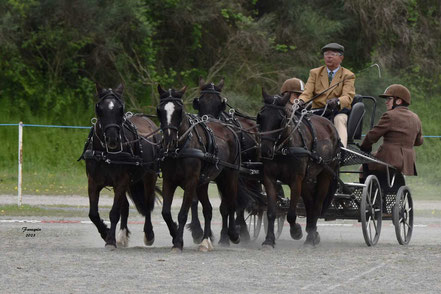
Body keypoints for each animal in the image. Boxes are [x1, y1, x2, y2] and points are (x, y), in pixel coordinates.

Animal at [81, 84, 158, 248]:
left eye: (120, 109)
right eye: (99, 109)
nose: (112, 139)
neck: (105, 153)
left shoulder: (121, 181)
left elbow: (114, 212)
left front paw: (110, 240)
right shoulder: (93, 182)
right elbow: (93, 214)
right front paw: (105, 233)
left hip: (149, 176)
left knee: (147, 203)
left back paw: (149, 234)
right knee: (126, 207)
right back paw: (122, 235)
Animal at [156, 84, 241, 250]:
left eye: (179, 110)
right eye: (160, 110)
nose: (169, 140)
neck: (179, 149)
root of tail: (227, 127)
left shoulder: (191, 181)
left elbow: (183, 213)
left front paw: (178, 242)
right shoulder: (169, 181)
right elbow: (166, 212)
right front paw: (175, 233)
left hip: (229, 175)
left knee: (231, 203)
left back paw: (232, 235)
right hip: (204, 182)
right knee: (208, 209)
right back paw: (205, 240)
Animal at [190, 78, 262, 241]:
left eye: (219, 104)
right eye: (200, 102)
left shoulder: (228, 174)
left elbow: (228, 204)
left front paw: (225, 235)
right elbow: (194, 201)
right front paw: (198, 231)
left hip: (246, 173)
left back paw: (243, 229)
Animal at [256, 89, 338, 246]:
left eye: (280, 119)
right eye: (260, 117)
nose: (265, 150)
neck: (284, 148)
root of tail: (330, 125)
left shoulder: (295, 181)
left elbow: (291, 214)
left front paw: (296, 231)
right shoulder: (269, 179)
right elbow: (271, 212)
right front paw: (269, 240)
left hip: (324, 174)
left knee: (317, 205)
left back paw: (310, 238)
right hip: (307, 179)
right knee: (310, 204)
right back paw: (312, 232)